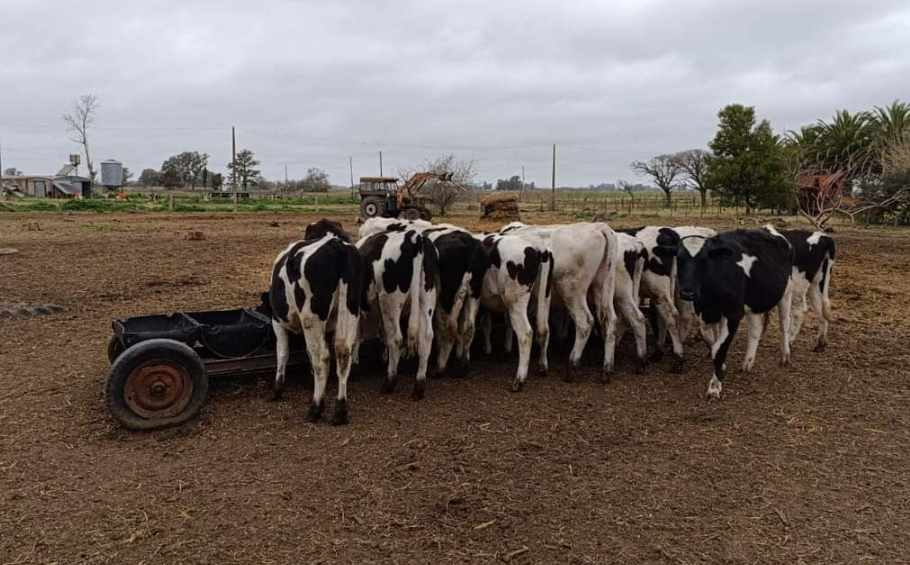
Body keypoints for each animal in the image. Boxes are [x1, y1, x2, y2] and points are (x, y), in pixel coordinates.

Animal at [268, 231, 362, 420]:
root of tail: (336, 245)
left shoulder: (277, 321)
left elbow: (282, 353)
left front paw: (277, 389)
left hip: (311, 318)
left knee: (322, 357)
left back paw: (316, 407)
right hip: (350, 309)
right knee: (343, 353)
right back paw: (340, 410)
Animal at [358, 228, 440, 396]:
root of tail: (414, 237)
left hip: (390, 301)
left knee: (395, 338)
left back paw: (389, 382)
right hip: (427, 297)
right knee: (426, 337)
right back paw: (419, 385)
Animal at [478, 231, 556, 390]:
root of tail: (539, 248)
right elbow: (487, 324)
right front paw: (490, 349)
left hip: (515, 301)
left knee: (525, 333)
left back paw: (519, 379)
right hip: (543, 294)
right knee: (544, 329)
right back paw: (542, 367)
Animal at [498, 220, 620, 384]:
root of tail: (598, 226)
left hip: (571, 290)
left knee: (585, 322)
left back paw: (572, 366)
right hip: (601, 288)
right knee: (610, 321)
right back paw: (607, 368)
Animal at [672, 227, 796, 398]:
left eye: (704, 260)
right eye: (679, 259)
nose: (687, 293)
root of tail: (768, 229)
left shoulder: (733, 314)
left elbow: (719, 350)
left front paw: (715, 386)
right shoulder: (704, 314)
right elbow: (713, 342)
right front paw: (722, 368)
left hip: (786, 292)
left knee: (784, 324)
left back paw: (785, 356)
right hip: (754, 302)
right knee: (756, 329)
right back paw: (748, 362)